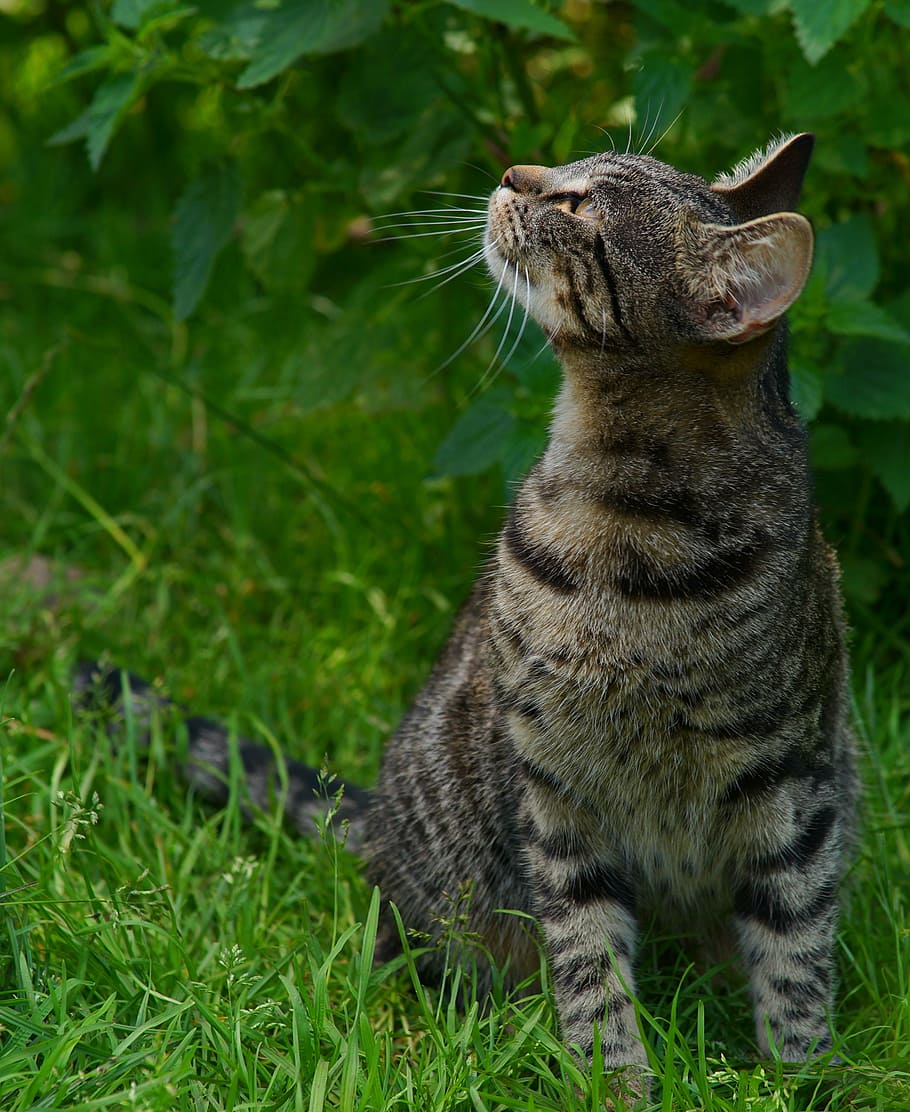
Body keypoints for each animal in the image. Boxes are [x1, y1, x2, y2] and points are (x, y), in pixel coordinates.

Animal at [77, 132, 849, 1094]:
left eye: (581, 204)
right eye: (569, 171)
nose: (519, 172)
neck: (632, 535)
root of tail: (373, 814)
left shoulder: (793, 778)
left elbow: (795, 952)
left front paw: (801, 1080)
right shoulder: (556, 785)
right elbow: (588, 959)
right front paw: (613, 1081)